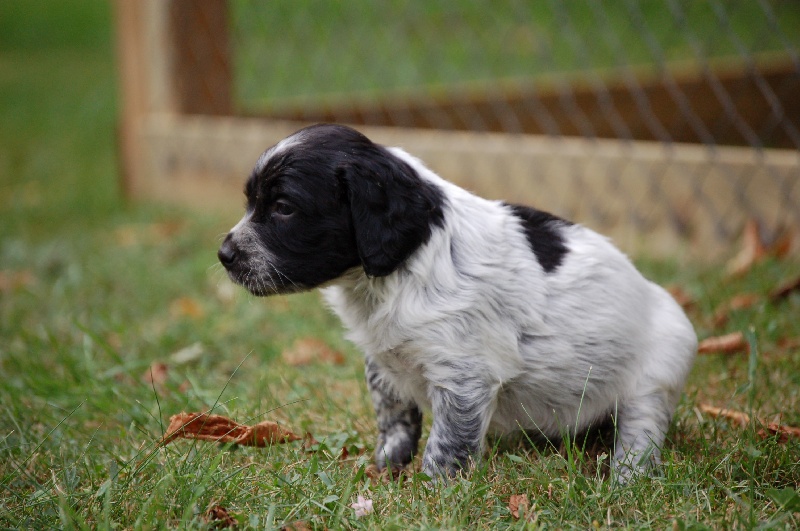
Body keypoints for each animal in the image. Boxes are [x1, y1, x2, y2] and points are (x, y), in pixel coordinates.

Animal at [217, 123, 692, 482]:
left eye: (283, 207)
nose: (224, 255)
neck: (396, 276)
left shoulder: (463, 373)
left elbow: (447, 444)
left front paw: (432, 492)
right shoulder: (383, 363)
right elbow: (395, 419)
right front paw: (386, 468)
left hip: (657, 372)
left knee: (641, 431)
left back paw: (626, 476)